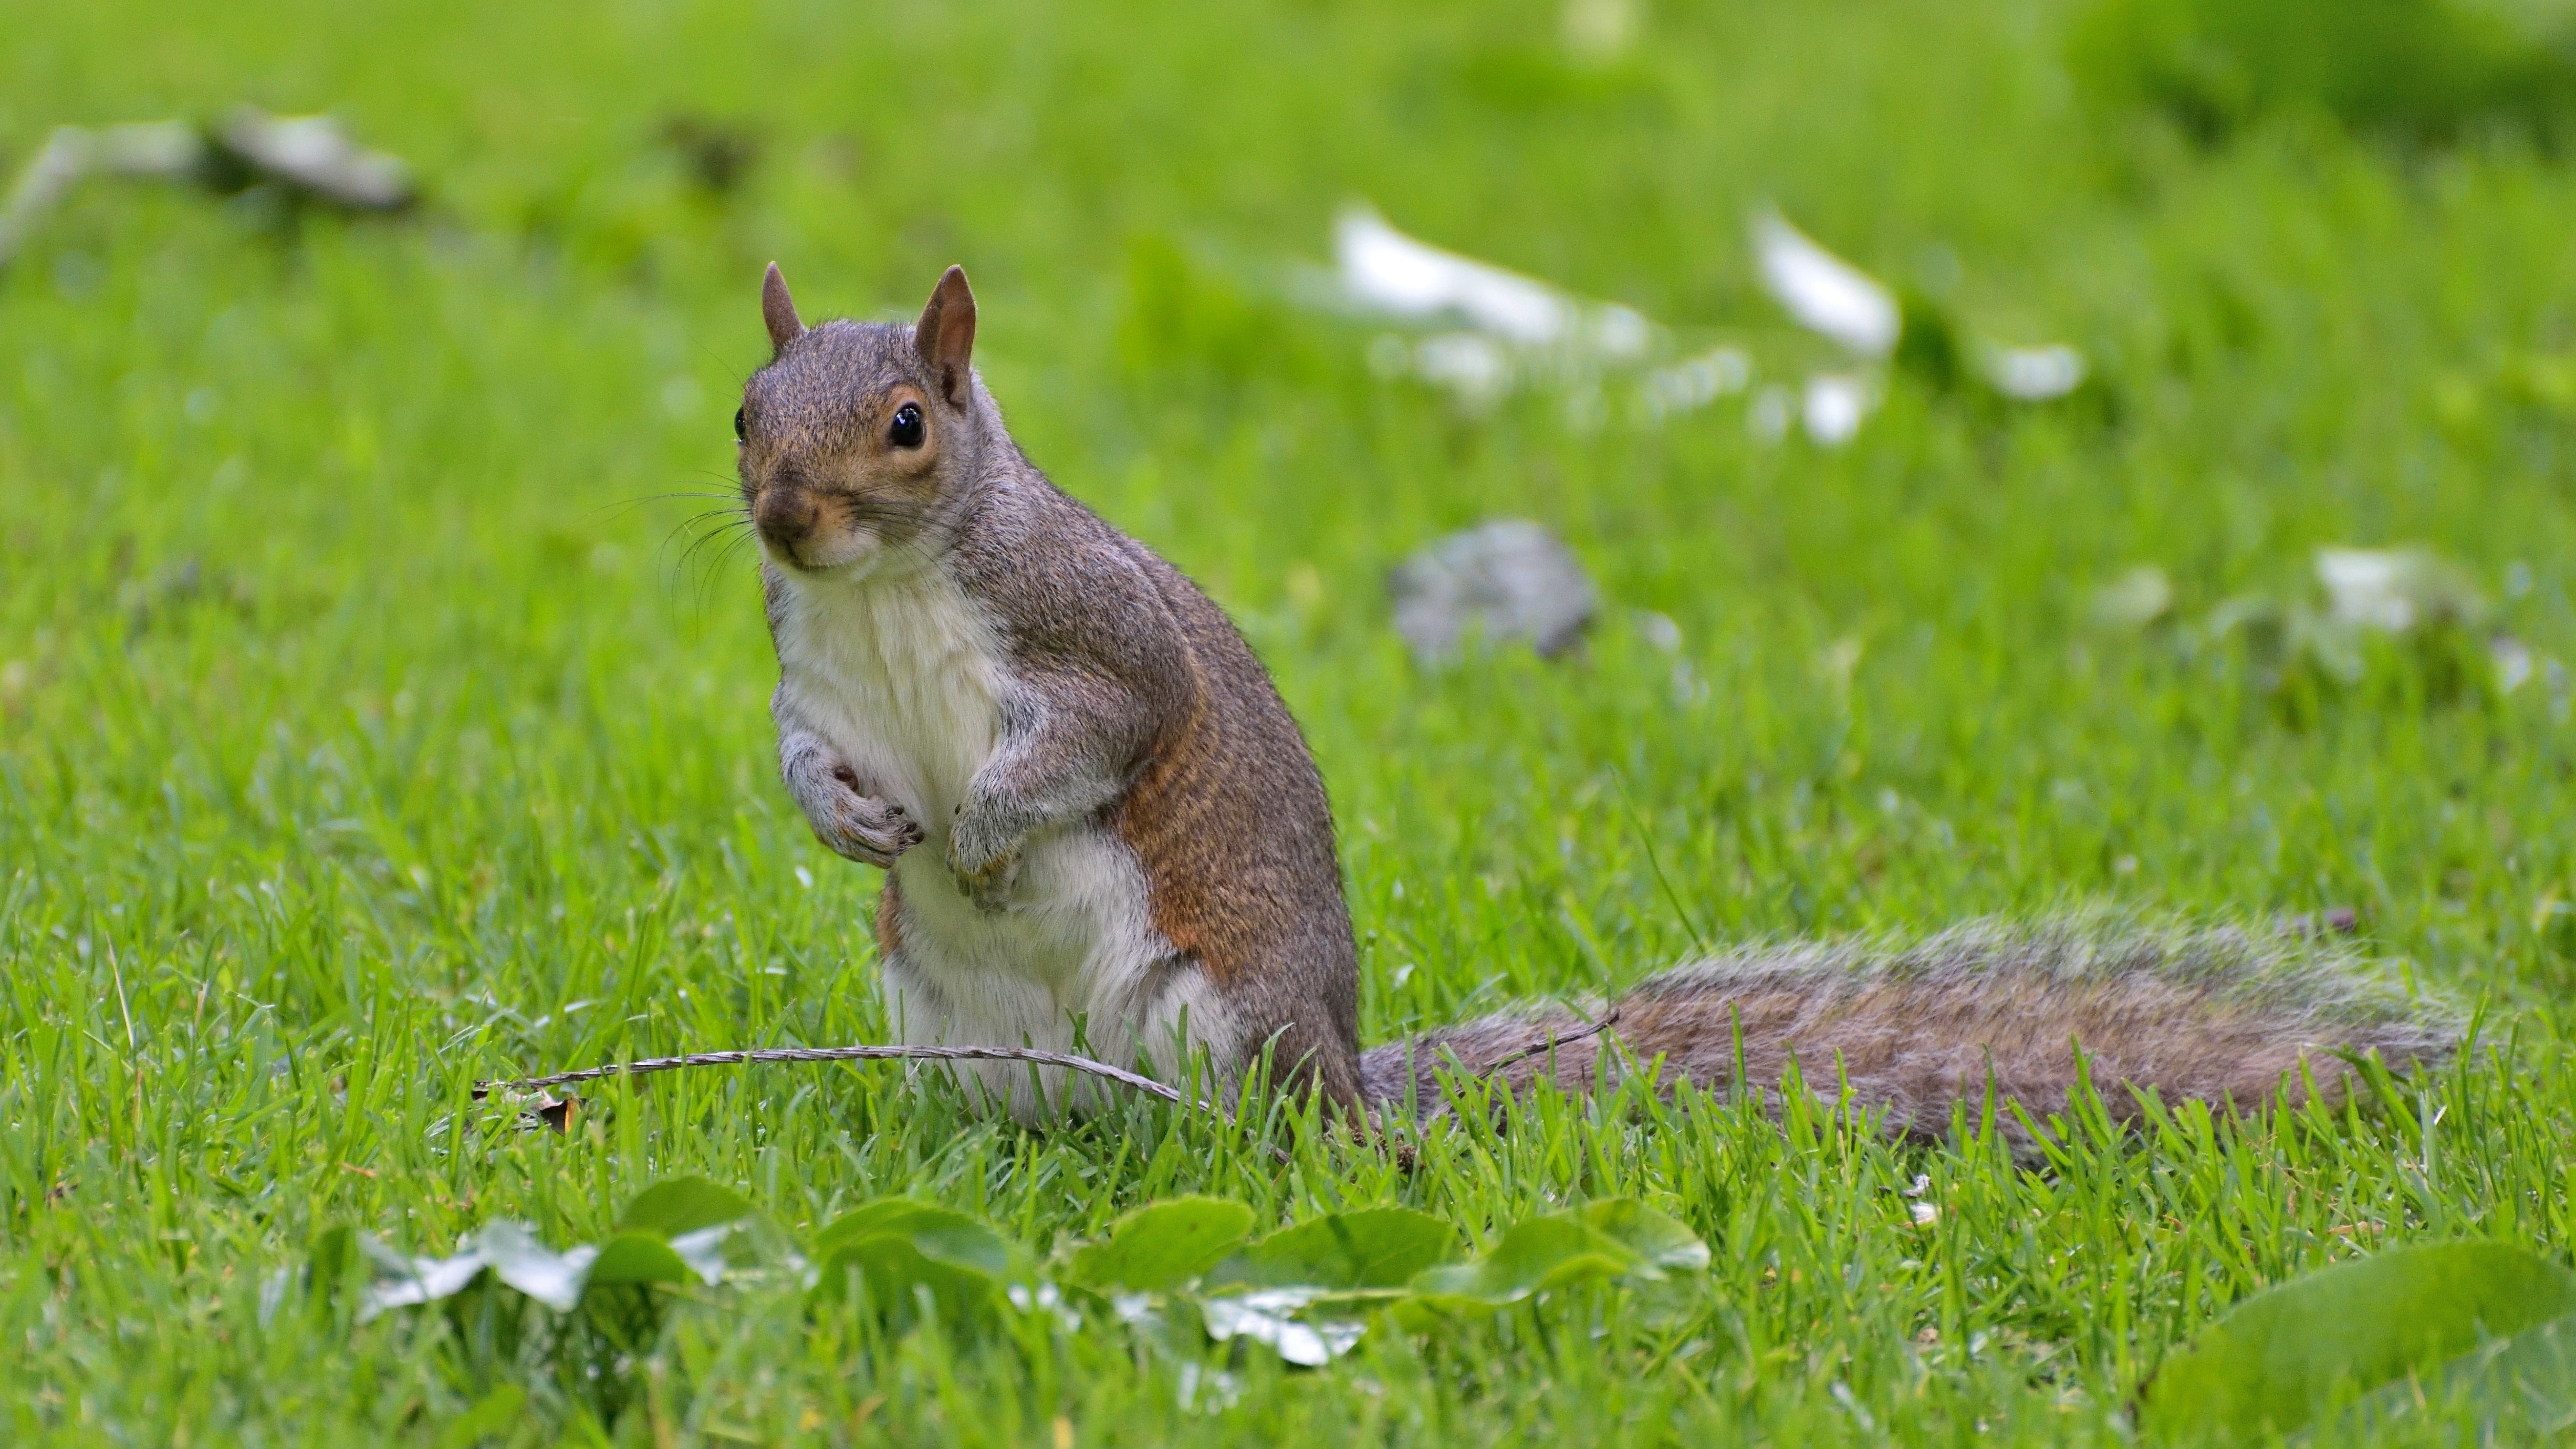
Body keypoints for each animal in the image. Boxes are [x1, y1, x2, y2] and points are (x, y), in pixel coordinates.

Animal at [736, 262, 2459, 1146]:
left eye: (907, 422)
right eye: (748, 410)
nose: (782, 517)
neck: (885, 588)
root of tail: (1355, 1082)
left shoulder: (1095, 631)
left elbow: (1107, 734)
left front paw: (983, 826)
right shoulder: (807, 667)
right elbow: (805, 756)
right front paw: (853, 820)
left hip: (1224, 1023)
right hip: (949, 1034)